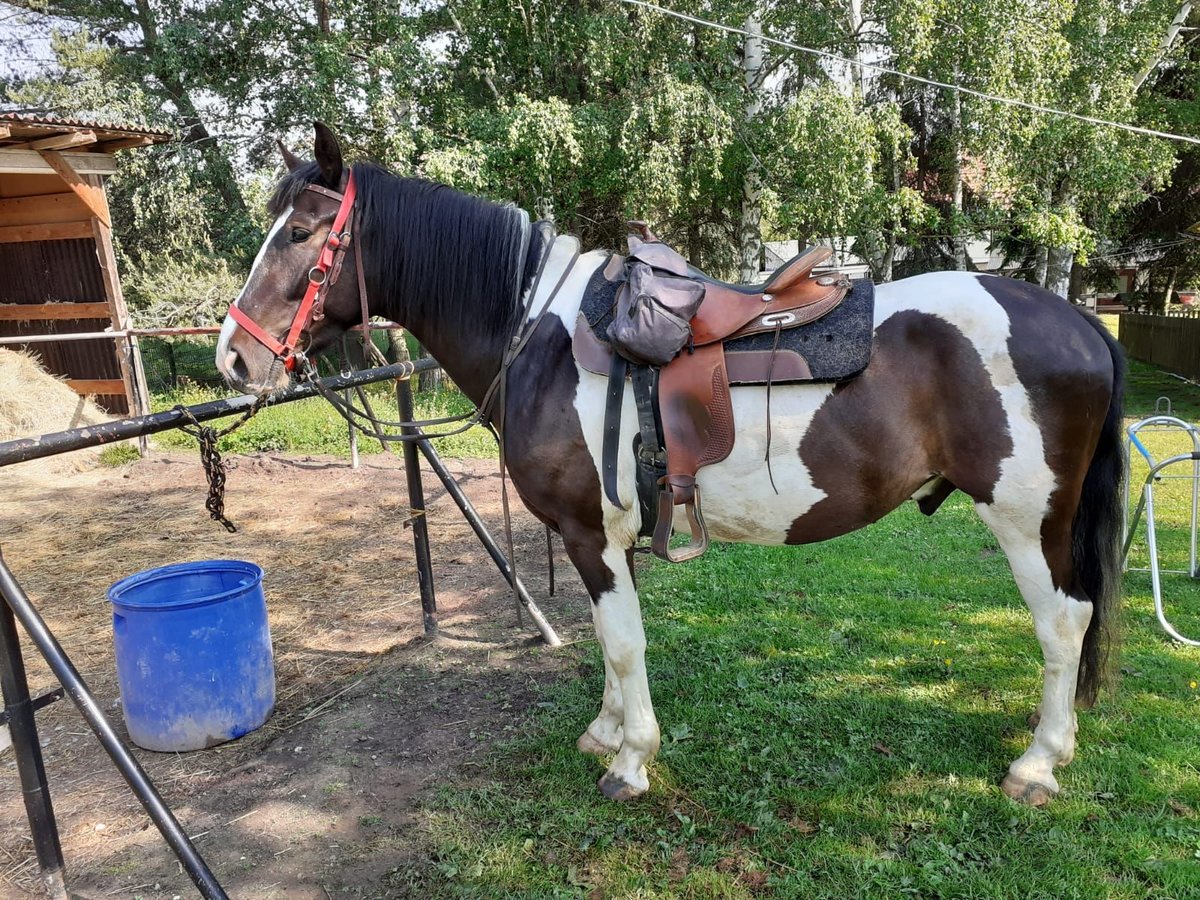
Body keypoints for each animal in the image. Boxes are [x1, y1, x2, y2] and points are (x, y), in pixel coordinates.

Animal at [216, 123, 1123, 806]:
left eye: (300, 234)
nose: (233, 358)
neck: (536, 337)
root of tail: (1080, 322)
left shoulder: (591, 534)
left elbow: (621, 644)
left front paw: (630, 762)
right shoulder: (603, 541)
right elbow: (611, 639)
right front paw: (607, 733)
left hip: (1027, 520)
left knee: (1064, 621)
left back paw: (1038, 763)